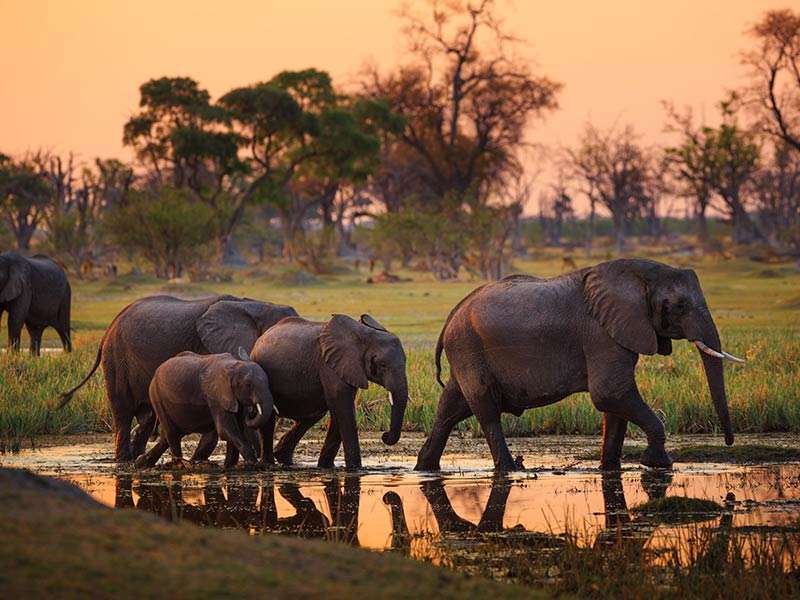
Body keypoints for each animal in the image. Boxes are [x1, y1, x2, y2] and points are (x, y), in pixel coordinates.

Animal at [134, 350, 275, 469]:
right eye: (249, 385)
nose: (252, 411)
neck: (234, 366)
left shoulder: (232, 397)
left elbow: (238, 427)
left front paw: (230, 466)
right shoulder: (215, 395)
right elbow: (226, 429)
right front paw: (253, 464)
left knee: (167, 437)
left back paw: (140, 463)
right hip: (156, 396)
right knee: (172, 434)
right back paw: (179, 465)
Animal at [249, 313, 408, 470]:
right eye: (383, 364)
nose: (384, 435)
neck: (364, 334)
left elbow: (339, 410)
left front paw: (326, 467)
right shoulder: (329, 365)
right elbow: (343, 408)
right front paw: (355, 469)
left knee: (312, 415)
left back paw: (284, 459)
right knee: (269, 418)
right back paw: (268, 464)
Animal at [415, 258, 743, 472]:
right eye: (680, 306)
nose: (729, 442)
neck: (639, 276)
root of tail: (452, 314)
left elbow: (615, 404)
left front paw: (609, 468)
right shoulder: (601, 333)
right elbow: (610, 393)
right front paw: (658, 464)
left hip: (466, 350)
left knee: (451, 407)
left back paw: (424, 467)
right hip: (468, 346)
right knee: (486, 409)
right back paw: (511, 469)